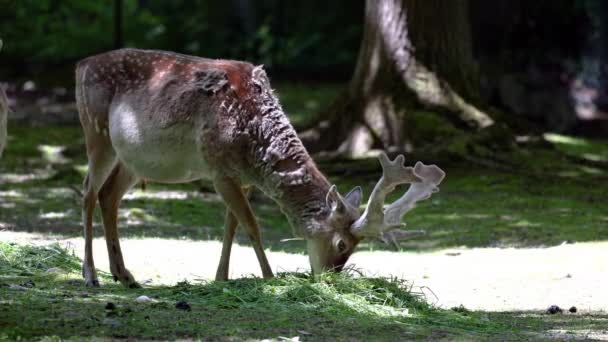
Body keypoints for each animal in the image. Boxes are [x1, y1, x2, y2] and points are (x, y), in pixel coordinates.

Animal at [76, 48, 446, 288]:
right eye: (342, 245)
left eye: (354, 249)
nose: (329, 277)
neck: (255, 147)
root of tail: (81, 64)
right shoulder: (218, 167)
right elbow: (252, 226)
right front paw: (270, 277)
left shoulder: (242, 178)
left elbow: (232, 226)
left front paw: (221, 278)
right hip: (97, 133)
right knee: (88, 193)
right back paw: (91, 275)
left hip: (132, 159)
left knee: (109, 197)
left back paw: (124, 275)